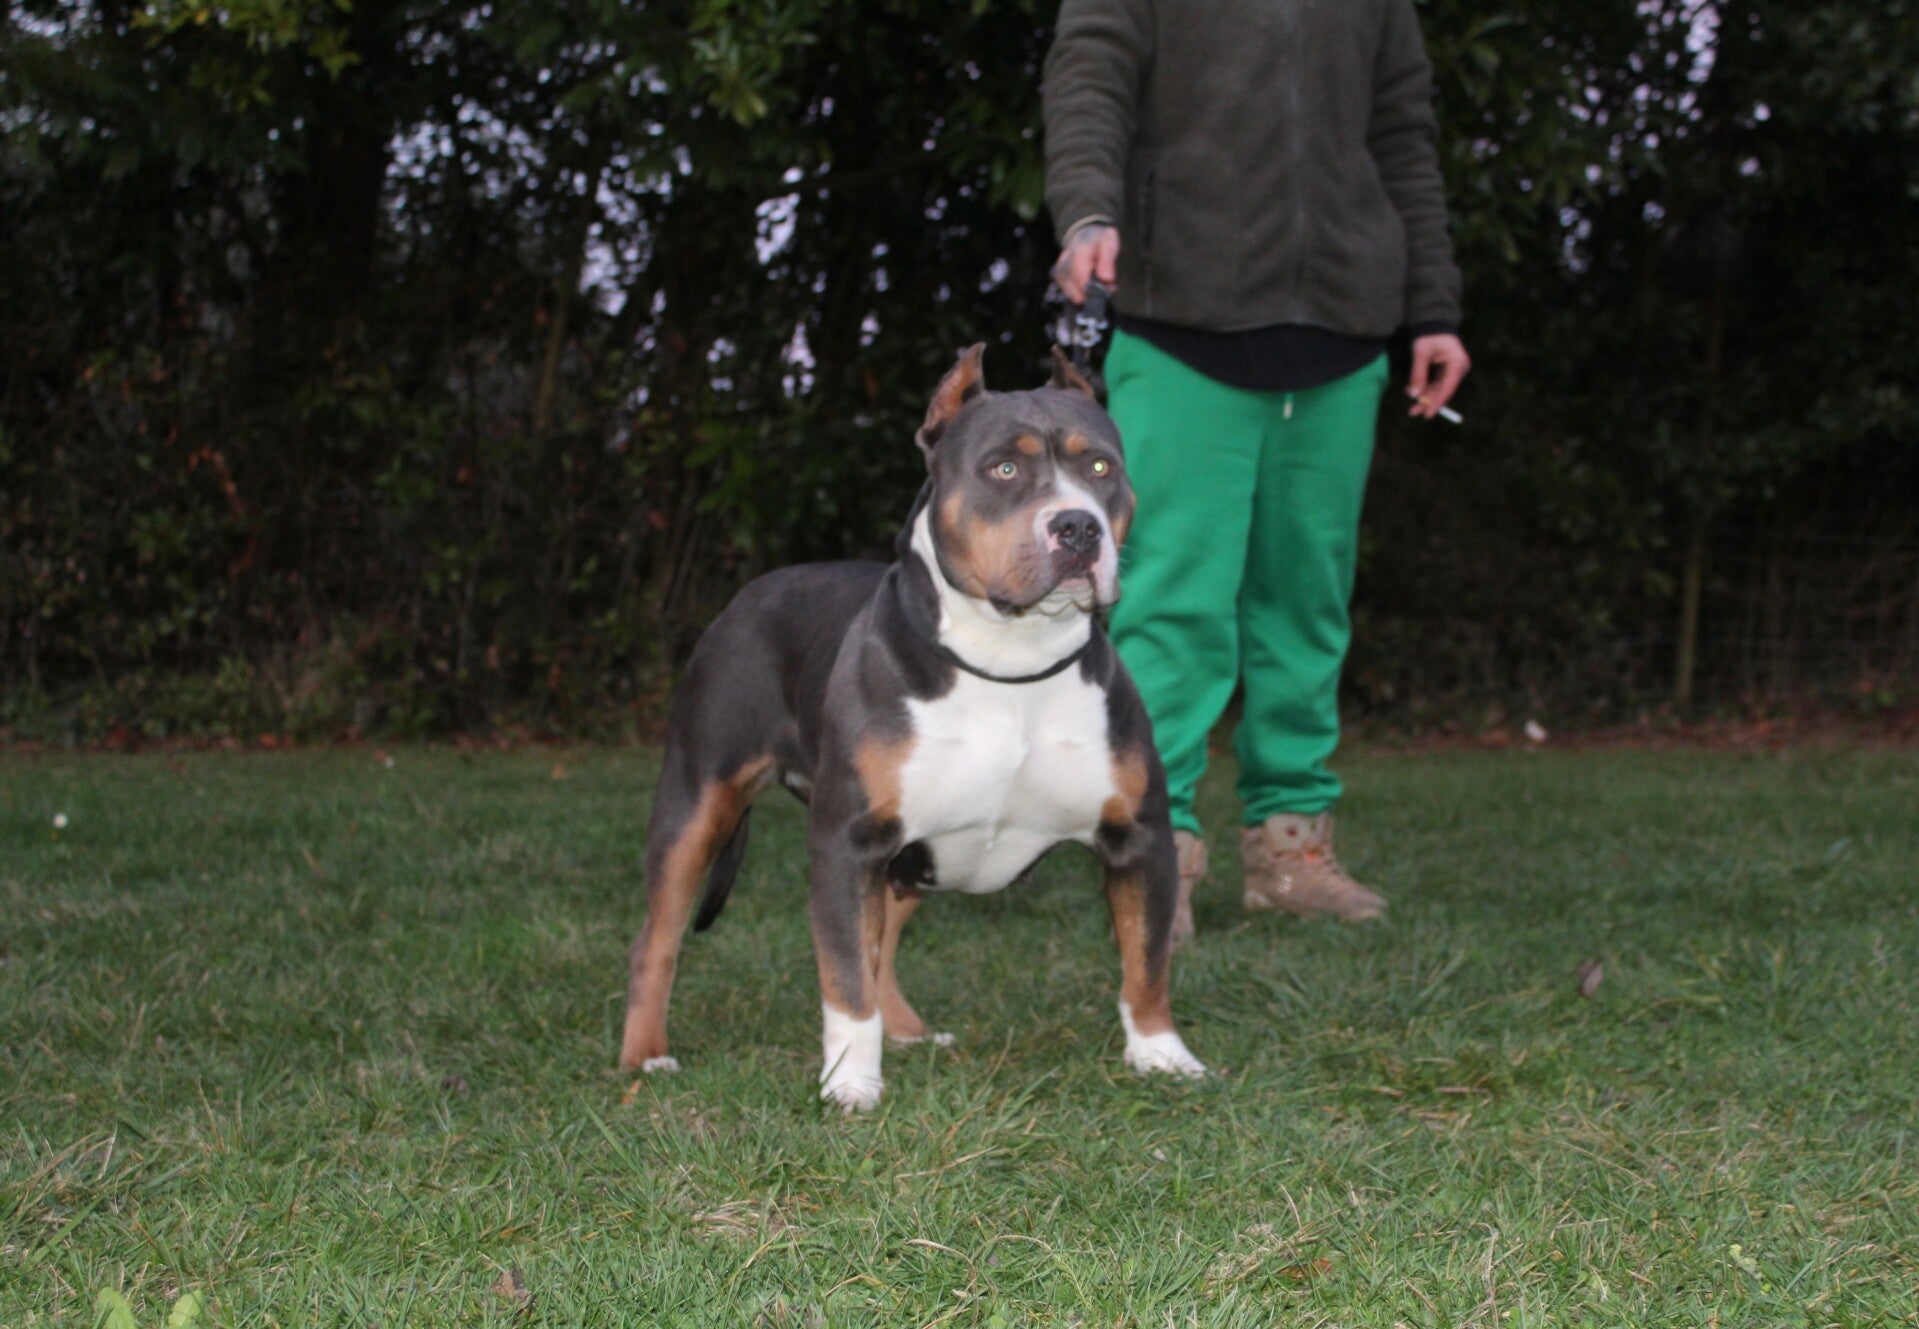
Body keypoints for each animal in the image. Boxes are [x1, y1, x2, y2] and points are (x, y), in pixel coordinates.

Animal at [618, 344, 1206, 1109]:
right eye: (1003, 469)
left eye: (1101, 468)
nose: (1077, 526)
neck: (1010, 662)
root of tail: (746, 593)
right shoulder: (848, 842)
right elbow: (844, 978)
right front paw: (849, 1082)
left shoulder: (1139, 838)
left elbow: (1147, 961)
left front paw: (1162, 1054)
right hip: (696, 802)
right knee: (658, 938)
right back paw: (644, 1056)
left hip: (914, 855)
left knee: (885, 944)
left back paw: (905, 1031)